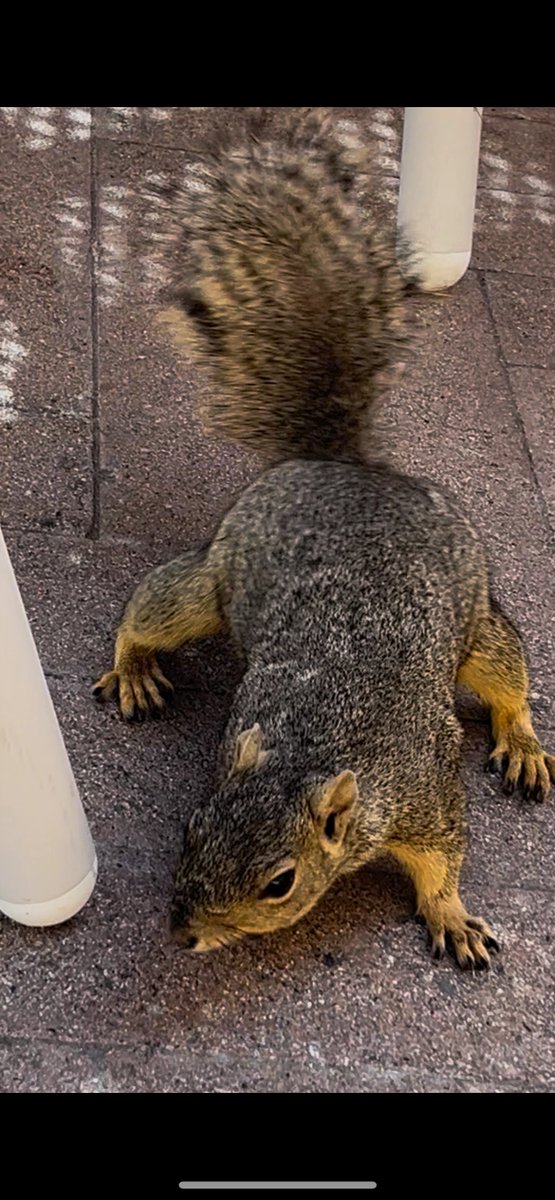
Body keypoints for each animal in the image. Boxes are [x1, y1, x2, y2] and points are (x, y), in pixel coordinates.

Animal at [94, 107, 554, 969]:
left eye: (279, 883)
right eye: (187, 829)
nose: (183, 932)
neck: (313, 748)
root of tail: (345, 467)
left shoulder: (427, 799)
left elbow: (443, 861)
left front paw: (450, 915)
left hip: (478, 627)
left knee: (508, 679)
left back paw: (522, 742)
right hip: (210, 582)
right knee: (149, 615)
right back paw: (134, 669)